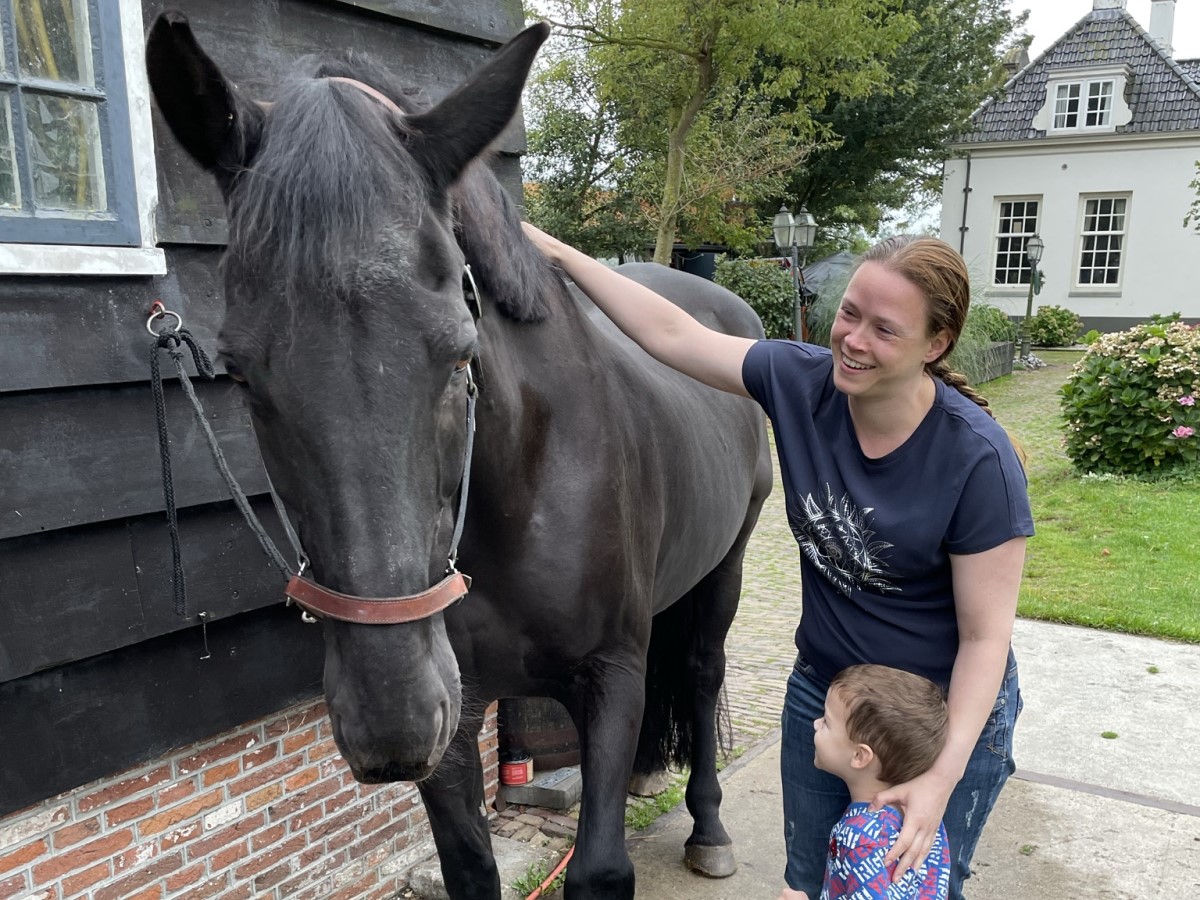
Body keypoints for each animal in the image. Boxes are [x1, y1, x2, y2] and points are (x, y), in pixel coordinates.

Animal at [145, 15, 772, 900]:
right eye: (239, 373)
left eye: (458, 352)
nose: (390, 719)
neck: (522, 488)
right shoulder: (455, 712)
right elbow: (470, 866)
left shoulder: (608, 676)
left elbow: (600, 866)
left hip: (730, 564)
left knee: (704, 669)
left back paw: (708, 827)